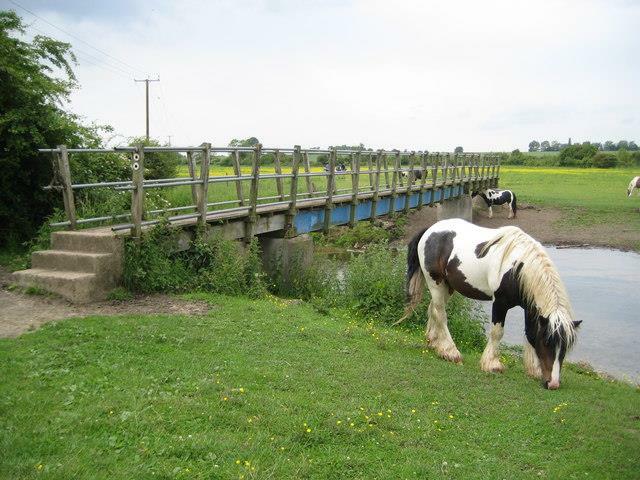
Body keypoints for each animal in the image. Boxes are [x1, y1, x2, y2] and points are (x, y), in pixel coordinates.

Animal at [396, 218, 580, 390]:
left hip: (447, 287)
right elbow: (497, 332)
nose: (553, 383)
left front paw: (533, 369)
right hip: (436, 283)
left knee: (433, 310)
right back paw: (451, 352)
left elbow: (530, 333)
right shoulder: (500, 302)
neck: (517, 268)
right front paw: (492, 364)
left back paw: (435, 344)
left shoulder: (529, 307)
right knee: (441, 315)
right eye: (547, 342)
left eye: (565, 346)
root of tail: (430, 230)